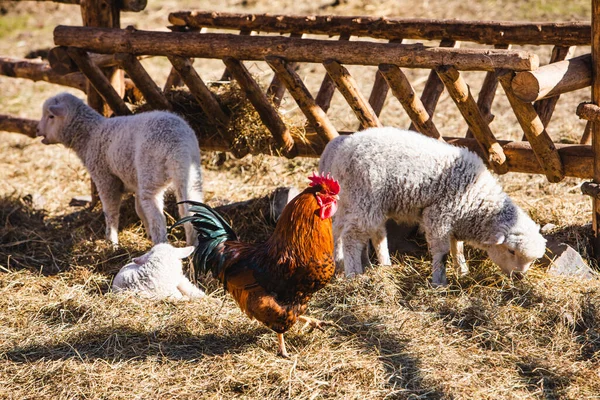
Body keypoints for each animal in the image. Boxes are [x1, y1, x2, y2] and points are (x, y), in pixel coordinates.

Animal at [36, 92, 204, 245]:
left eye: (50, 116)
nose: (37, 130)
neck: (90, 135)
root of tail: (178, 145)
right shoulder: (136, 182)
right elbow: (139, 210)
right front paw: (146, 233)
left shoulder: (105, 178)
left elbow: (110, 211)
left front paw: (111, 241)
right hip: (191, 174)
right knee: (190, 208)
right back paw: (192, 245)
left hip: (151, 174)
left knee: (158, 217)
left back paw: (159, 244)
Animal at [318, 126, 548, 286]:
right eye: (511, 251)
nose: (519, 277)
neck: (477, 200)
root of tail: (344, 148)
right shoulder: (439, 216)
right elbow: (442, 251)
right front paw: (439, 281)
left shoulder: (455, 220)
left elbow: (458, 248)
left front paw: (462, 271)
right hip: (365, 200)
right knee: (351, 237)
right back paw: (353, 274)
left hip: (351, 201)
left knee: (341, 230)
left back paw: (350, 264)